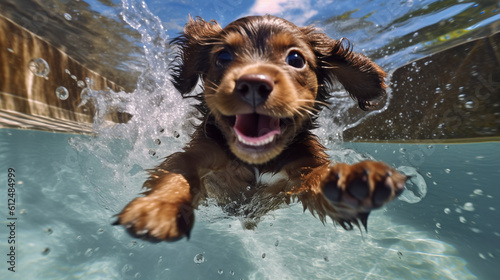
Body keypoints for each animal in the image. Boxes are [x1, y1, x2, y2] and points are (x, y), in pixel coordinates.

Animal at [115, 15, 408, 242]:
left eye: (295, 59)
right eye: (223, 56)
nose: (254, 84)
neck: (255, 161)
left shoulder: (303, 165)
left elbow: (319, 175)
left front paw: (352, 181)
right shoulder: (199, 153)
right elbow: (179, 172)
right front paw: (158, 209)